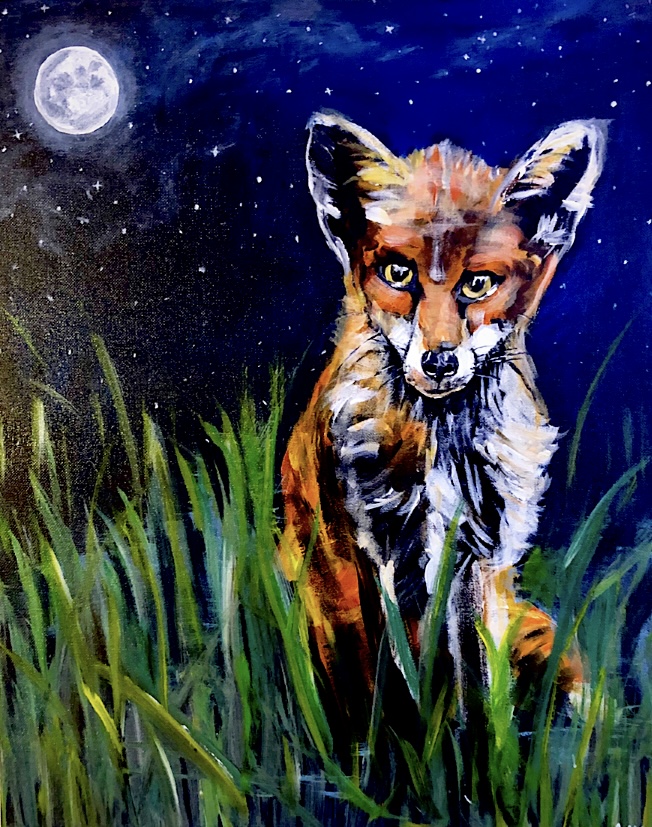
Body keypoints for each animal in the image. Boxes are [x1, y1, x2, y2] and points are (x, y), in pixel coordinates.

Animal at [280, 112, 606, 727]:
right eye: (397, 272)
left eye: (478, 283)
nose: (439, 361)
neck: (443, 453)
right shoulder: (377, 559)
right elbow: (395, 692)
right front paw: (397, 752)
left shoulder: (476, 559)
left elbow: (476, 694)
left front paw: (479, 751)